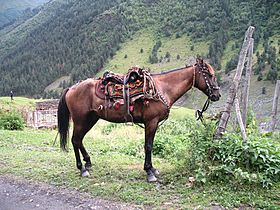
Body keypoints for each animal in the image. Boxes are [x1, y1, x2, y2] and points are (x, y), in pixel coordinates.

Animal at [57, 58, 221, 181]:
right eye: (210, 75)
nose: (217, 95)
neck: (162, 88)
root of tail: (71, 88)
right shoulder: (151, 122)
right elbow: (148, 146)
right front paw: (149, 172)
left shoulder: (153, 124)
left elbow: (151, 145)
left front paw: (152, 169)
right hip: (80, 120)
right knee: (75, 140)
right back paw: (82, 169)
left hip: (91, 119)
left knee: (79, 140)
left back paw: (88, 162)